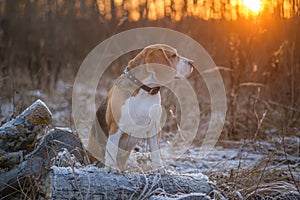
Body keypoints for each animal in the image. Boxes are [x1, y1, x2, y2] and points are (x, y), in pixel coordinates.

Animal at [88, 44, 193, 172]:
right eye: (173, 55)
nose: (192, 63)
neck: (145, 91)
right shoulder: (116, 127)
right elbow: (112, 149)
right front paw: (112, 168)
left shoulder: (154, 128)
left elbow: (156, 151)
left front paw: (159, 168)